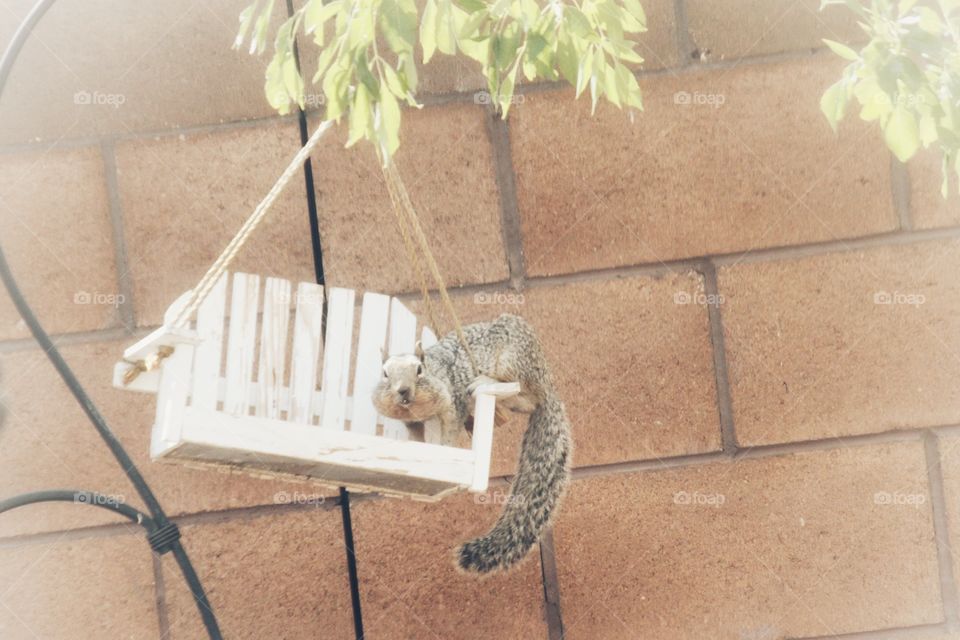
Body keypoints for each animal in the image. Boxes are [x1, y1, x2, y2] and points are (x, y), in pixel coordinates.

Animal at [374, 312, 568, 572]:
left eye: (419, 370)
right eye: (385, 373)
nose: (403, 390)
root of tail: (547, 380)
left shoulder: (452, 405)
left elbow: (448, 432)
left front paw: (443, 449)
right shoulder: (411, 422)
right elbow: (415, 435)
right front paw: (418, 448)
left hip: (513, 361)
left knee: (528, 396)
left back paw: (485, 382)